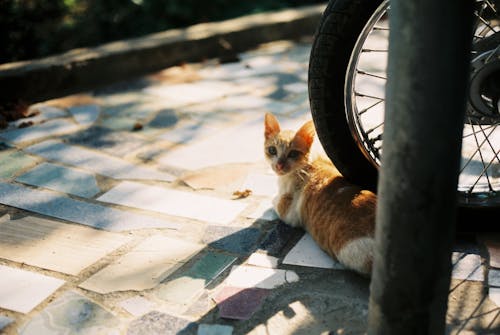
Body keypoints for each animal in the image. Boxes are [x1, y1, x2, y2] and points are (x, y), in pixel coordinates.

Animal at [266, 113, 376, 276]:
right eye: (272, 150)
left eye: (293, 153)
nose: (279, 165)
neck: (308, 165)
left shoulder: (289, 213)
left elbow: (275, 200)